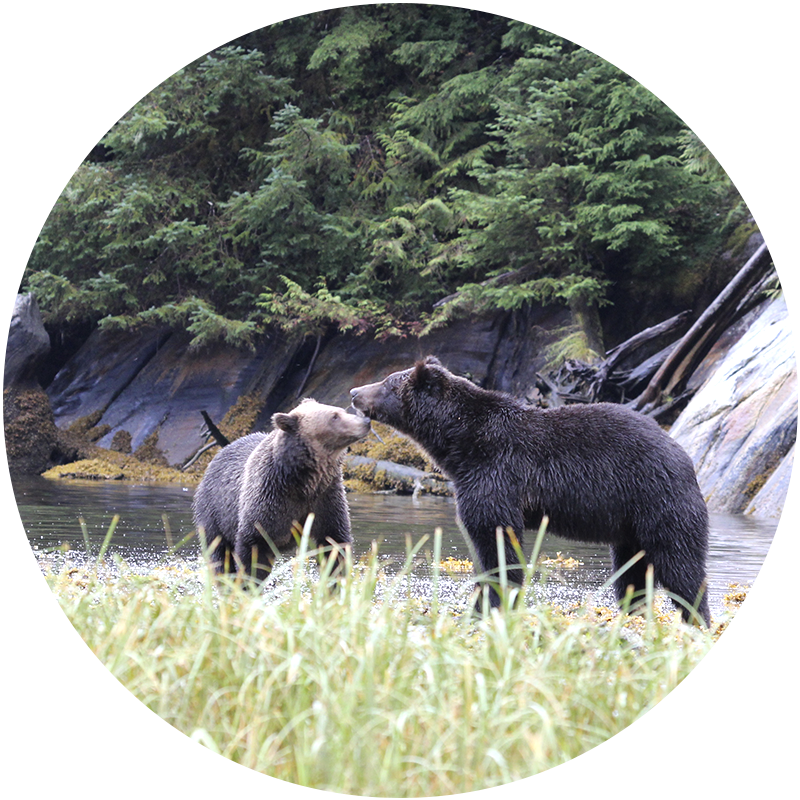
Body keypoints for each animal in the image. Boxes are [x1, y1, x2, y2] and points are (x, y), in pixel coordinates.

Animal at [192, 398, 371, 583]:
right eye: (334, 416)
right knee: (220, 553)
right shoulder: (269, 498)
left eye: (341, 411)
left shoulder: (326, 497)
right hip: (214, 511)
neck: (303, 480)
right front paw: (249, 583)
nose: (366, 421)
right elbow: (254, 547)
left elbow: (334, 543)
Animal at [350, 356, 710, 625]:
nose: (354, 392)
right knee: (631, 573)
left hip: (658, 501)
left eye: (386, 384)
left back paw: (697, 620)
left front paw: (488, 605)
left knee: (681, 566)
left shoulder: (495, 474)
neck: (460, 443)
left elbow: (495, 542)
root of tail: (686, 459)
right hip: (630, 524)